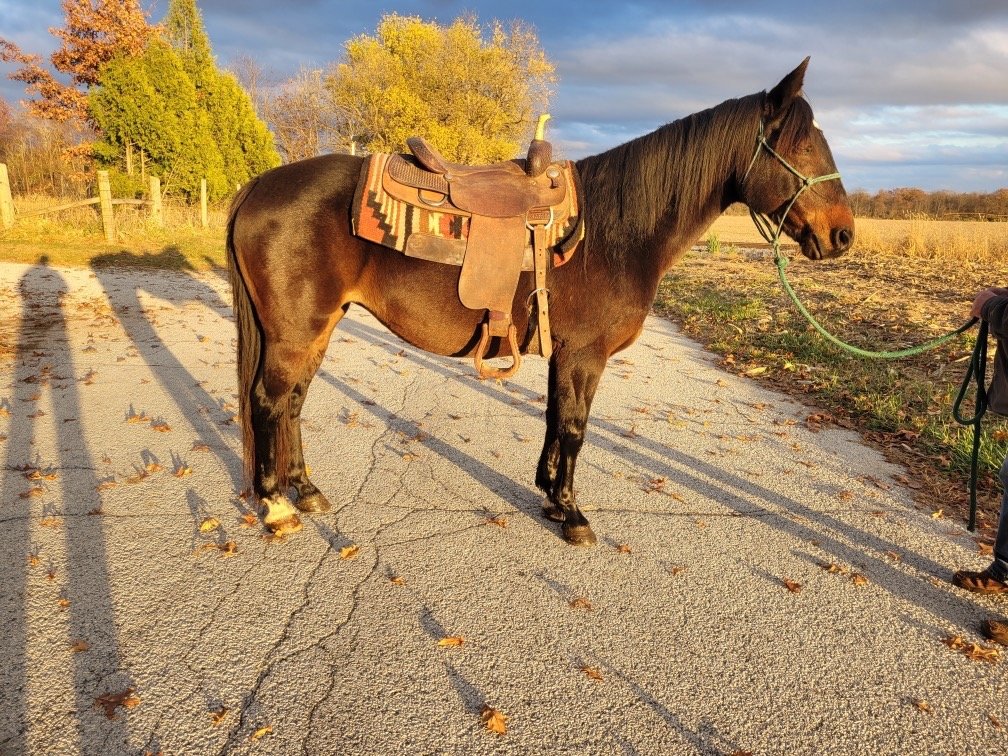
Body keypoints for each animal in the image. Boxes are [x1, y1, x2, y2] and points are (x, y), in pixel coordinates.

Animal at [227, 57, 854, 546]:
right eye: (801, 144)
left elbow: (556, 420)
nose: (843, 234)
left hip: (318, 327)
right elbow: (575, 427)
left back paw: (306, 491)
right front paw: (573, 515)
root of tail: (259, 184)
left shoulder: (567, 356)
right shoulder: (584, 355)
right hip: (296, 331)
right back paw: (276, 507)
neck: (616, 230)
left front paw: (551, 498)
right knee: (268, 401)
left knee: (293, 402)